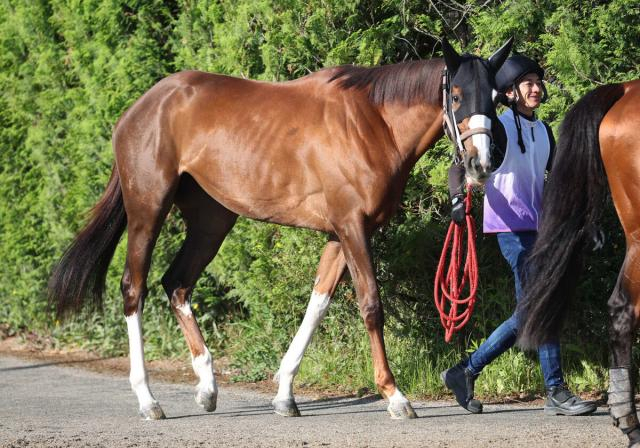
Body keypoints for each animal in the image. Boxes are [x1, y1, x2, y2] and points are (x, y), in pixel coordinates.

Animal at [48, 38, 516, 420]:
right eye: (456, 95)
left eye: (495, 97)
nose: (480, 163)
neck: (372, 123)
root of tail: (139, 109)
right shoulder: (353, 227)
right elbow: (371, 306)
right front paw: (395, 396)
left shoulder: (338, 234)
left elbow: (317, 305)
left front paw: (285, 395)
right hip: (148, 208)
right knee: (134, 288)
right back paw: (148, 400)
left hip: (211, 220)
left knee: (177, 283)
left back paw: (207, 388)